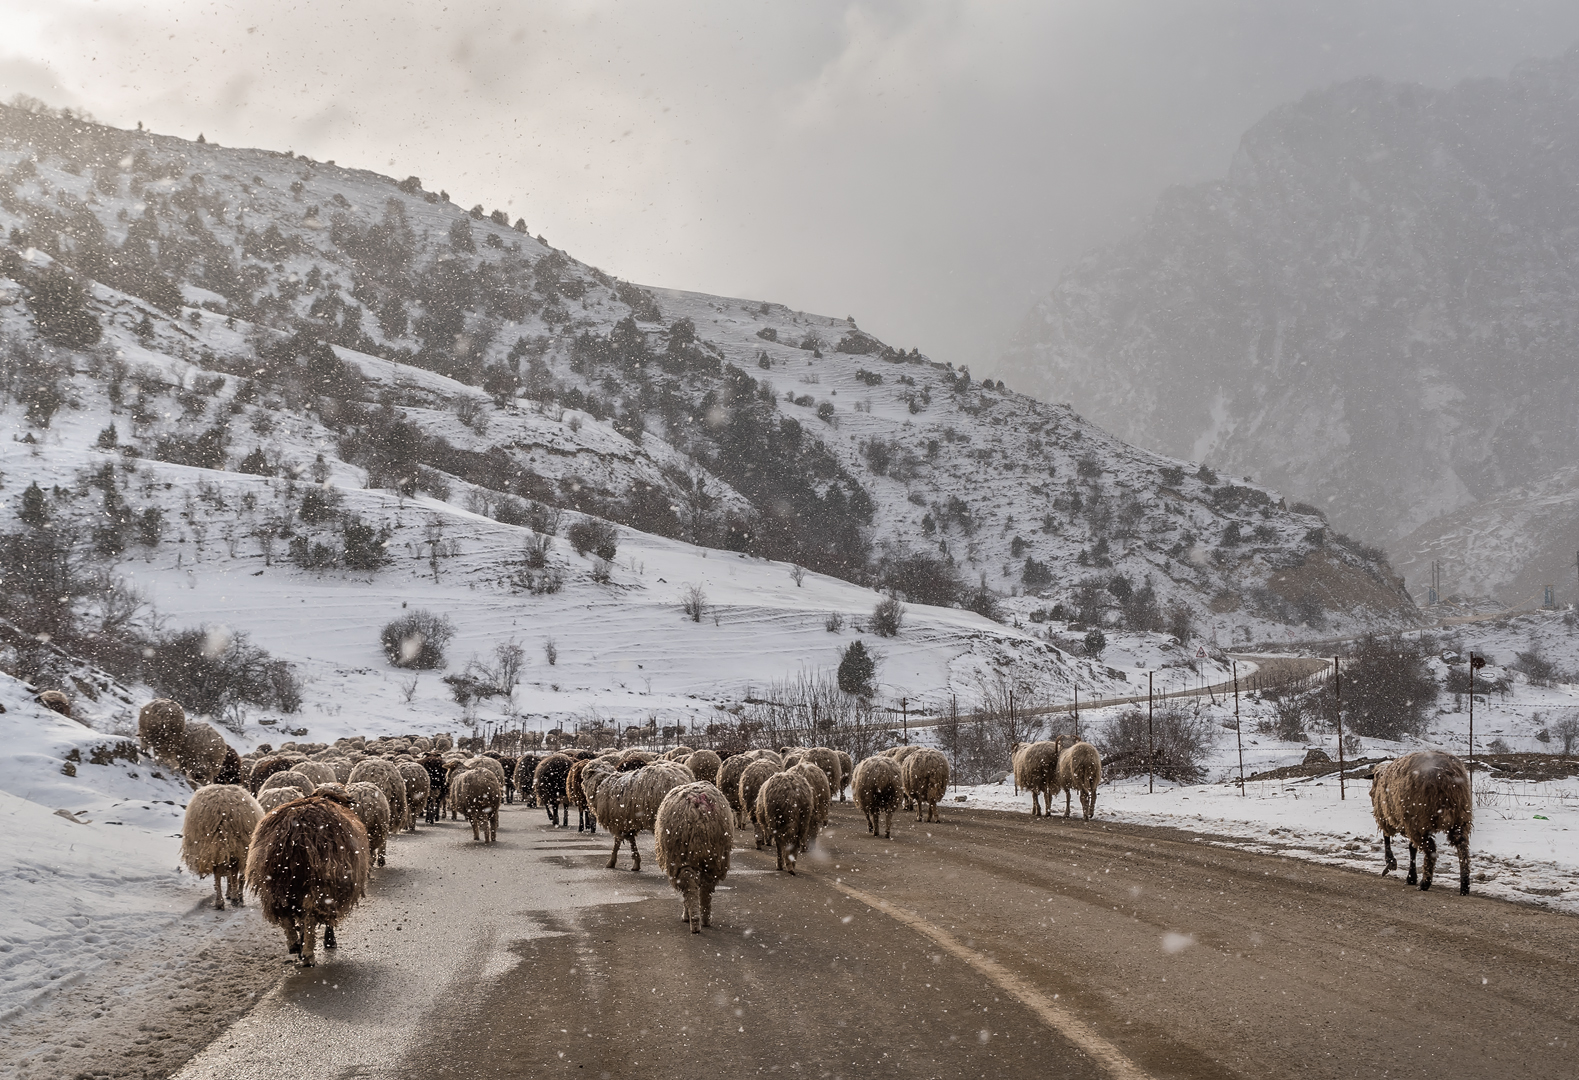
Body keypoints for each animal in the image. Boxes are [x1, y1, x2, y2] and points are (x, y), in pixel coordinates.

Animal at [246, 792, 370, 967]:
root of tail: (294, 827)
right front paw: (329, 941)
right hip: (319, 882)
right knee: (310, 916)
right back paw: (307, 955)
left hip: (274, 881)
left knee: (284, 912)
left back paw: (294, 945)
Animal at [655, 781, 734, 932]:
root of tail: (698, 806)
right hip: (713, 856)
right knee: (704, 886)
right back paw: (702, 920)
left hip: (681, 856)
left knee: (689, 885)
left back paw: (694, 921)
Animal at [1371, 751, 1473, 894]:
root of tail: (1446, 774)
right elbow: (1411, 848)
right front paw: (1410, 876)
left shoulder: (1385, 815)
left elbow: (1387, 838)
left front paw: (1391, 863)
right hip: (1460, 817)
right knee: (1462, 847)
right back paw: (1464, 885)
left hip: (1419, 820)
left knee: (1431, 850)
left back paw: (1425, 883)